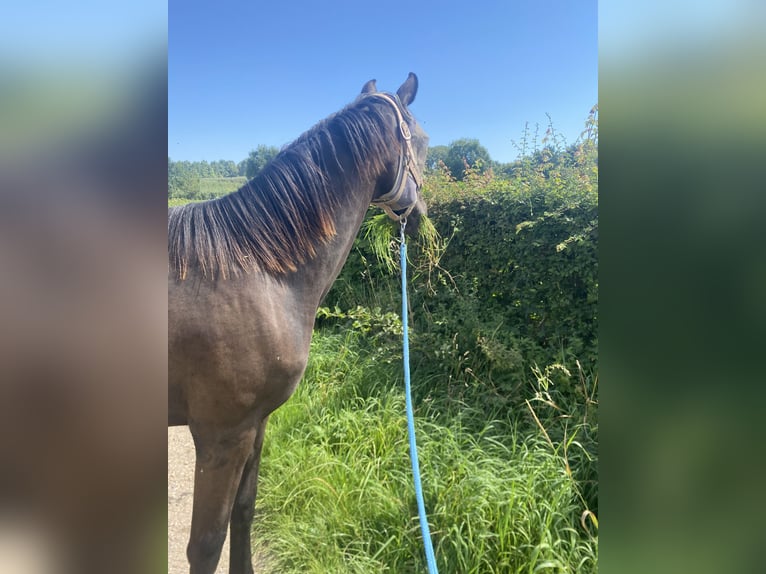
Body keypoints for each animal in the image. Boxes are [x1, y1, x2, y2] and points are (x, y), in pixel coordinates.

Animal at [168, 73, 429, 574]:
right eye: (424, 142)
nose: (423, 217)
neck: (256, 270)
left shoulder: (255, 425)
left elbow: (244, 511)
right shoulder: (220, 436)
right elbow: (206, 544)